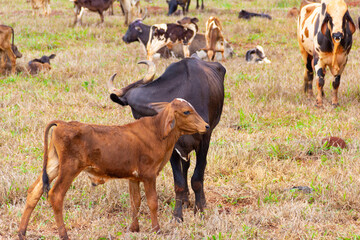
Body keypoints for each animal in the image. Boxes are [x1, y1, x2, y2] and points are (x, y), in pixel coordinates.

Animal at [18, 98, 210, 239]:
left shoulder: (134, 177)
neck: (157, 133)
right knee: (56, 195)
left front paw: (134, 228)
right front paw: (157, 229)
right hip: (69, 168)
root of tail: (63, 124)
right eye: (186, 111)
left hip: (54, 165)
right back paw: (64, 234)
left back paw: (22, 232)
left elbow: (135, 202)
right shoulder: (149, 176)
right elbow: (152, 202)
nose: (206, 126)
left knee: (34, 191)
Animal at [107, 56, 225, 221]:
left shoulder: (204, 140)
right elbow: (179, 183)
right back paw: (186, 200)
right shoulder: (174, 148)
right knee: (185, 167)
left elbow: (197, 178)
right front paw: (177, 215)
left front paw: (200, 209)